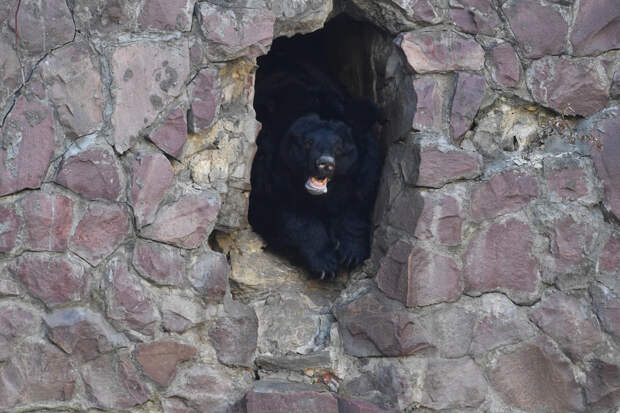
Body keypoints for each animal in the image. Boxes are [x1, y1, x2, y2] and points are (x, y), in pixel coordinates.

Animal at [248, 50, 382, 280]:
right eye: (308, 143)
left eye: (339, 147)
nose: (325, 164)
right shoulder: (268, 170)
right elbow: (288, 214)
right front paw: (325, 264)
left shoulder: (363, 171)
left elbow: (355, 204)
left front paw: (351, 253)